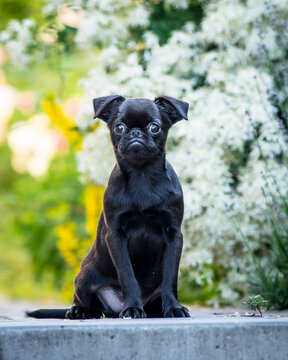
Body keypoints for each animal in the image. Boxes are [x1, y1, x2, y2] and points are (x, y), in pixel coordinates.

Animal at [26, 95, 189, 318]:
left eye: (154, 127)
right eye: (119, 127)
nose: (135, 132)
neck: (142, 175)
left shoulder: (174, 235)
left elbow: (171, 277)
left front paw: (174, 308)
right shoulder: (116, 235)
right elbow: (127, 275)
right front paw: (132, 308)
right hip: (84, 276)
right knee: (87, 303)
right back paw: (79, 311)